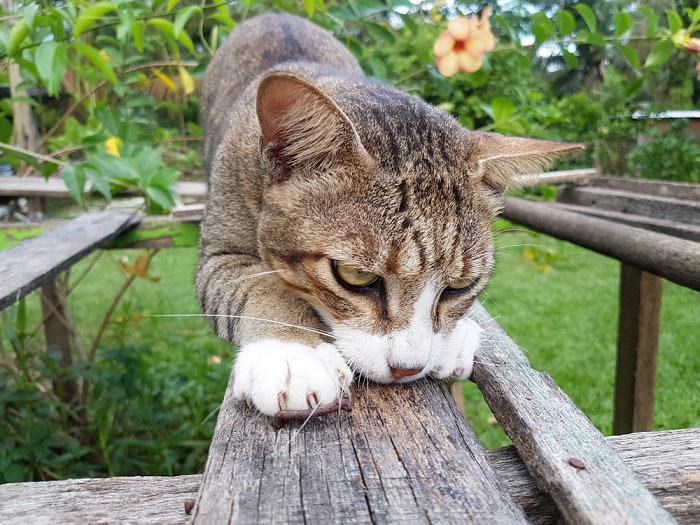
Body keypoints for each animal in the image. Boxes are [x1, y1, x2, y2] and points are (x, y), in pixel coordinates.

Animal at [196, 13, 580, 418]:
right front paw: (292, 353)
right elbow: (259, 284)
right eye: (356, 276)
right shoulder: (218, 253)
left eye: (460, 286)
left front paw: (455, 336)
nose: (407, 369)